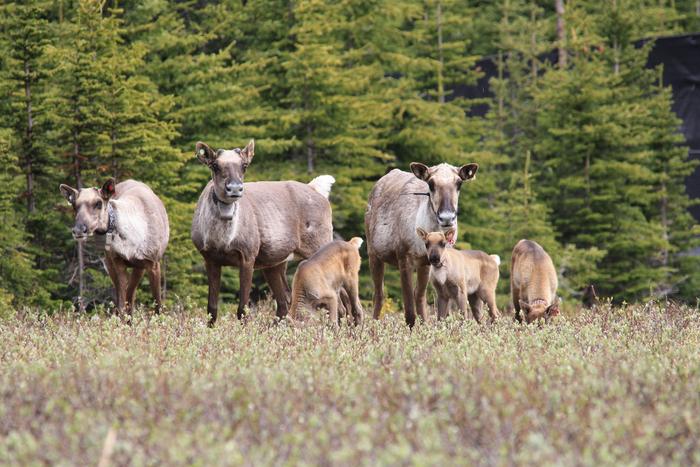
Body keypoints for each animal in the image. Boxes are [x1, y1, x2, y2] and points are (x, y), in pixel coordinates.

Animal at [59, 178, 170, 314]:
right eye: (74, 205)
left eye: (98, 203)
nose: (79, 230)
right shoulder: (118, 262)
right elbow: (122, 304)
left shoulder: (153, 262)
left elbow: (158, 306)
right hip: (109, 261)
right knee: (127, 297)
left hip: (139, 266)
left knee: (131, 295)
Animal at [190, 139, 334, 326]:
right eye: (215, 165)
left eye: (244, 165)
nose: (234, 189)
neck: (222, 241)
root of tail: (318, 190)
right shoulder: (210, 258)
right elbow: (212, 309)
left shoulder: (248, 255)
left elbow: (242, 309)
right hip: (274, 263)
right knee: (285, 300)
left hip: (320, 245)